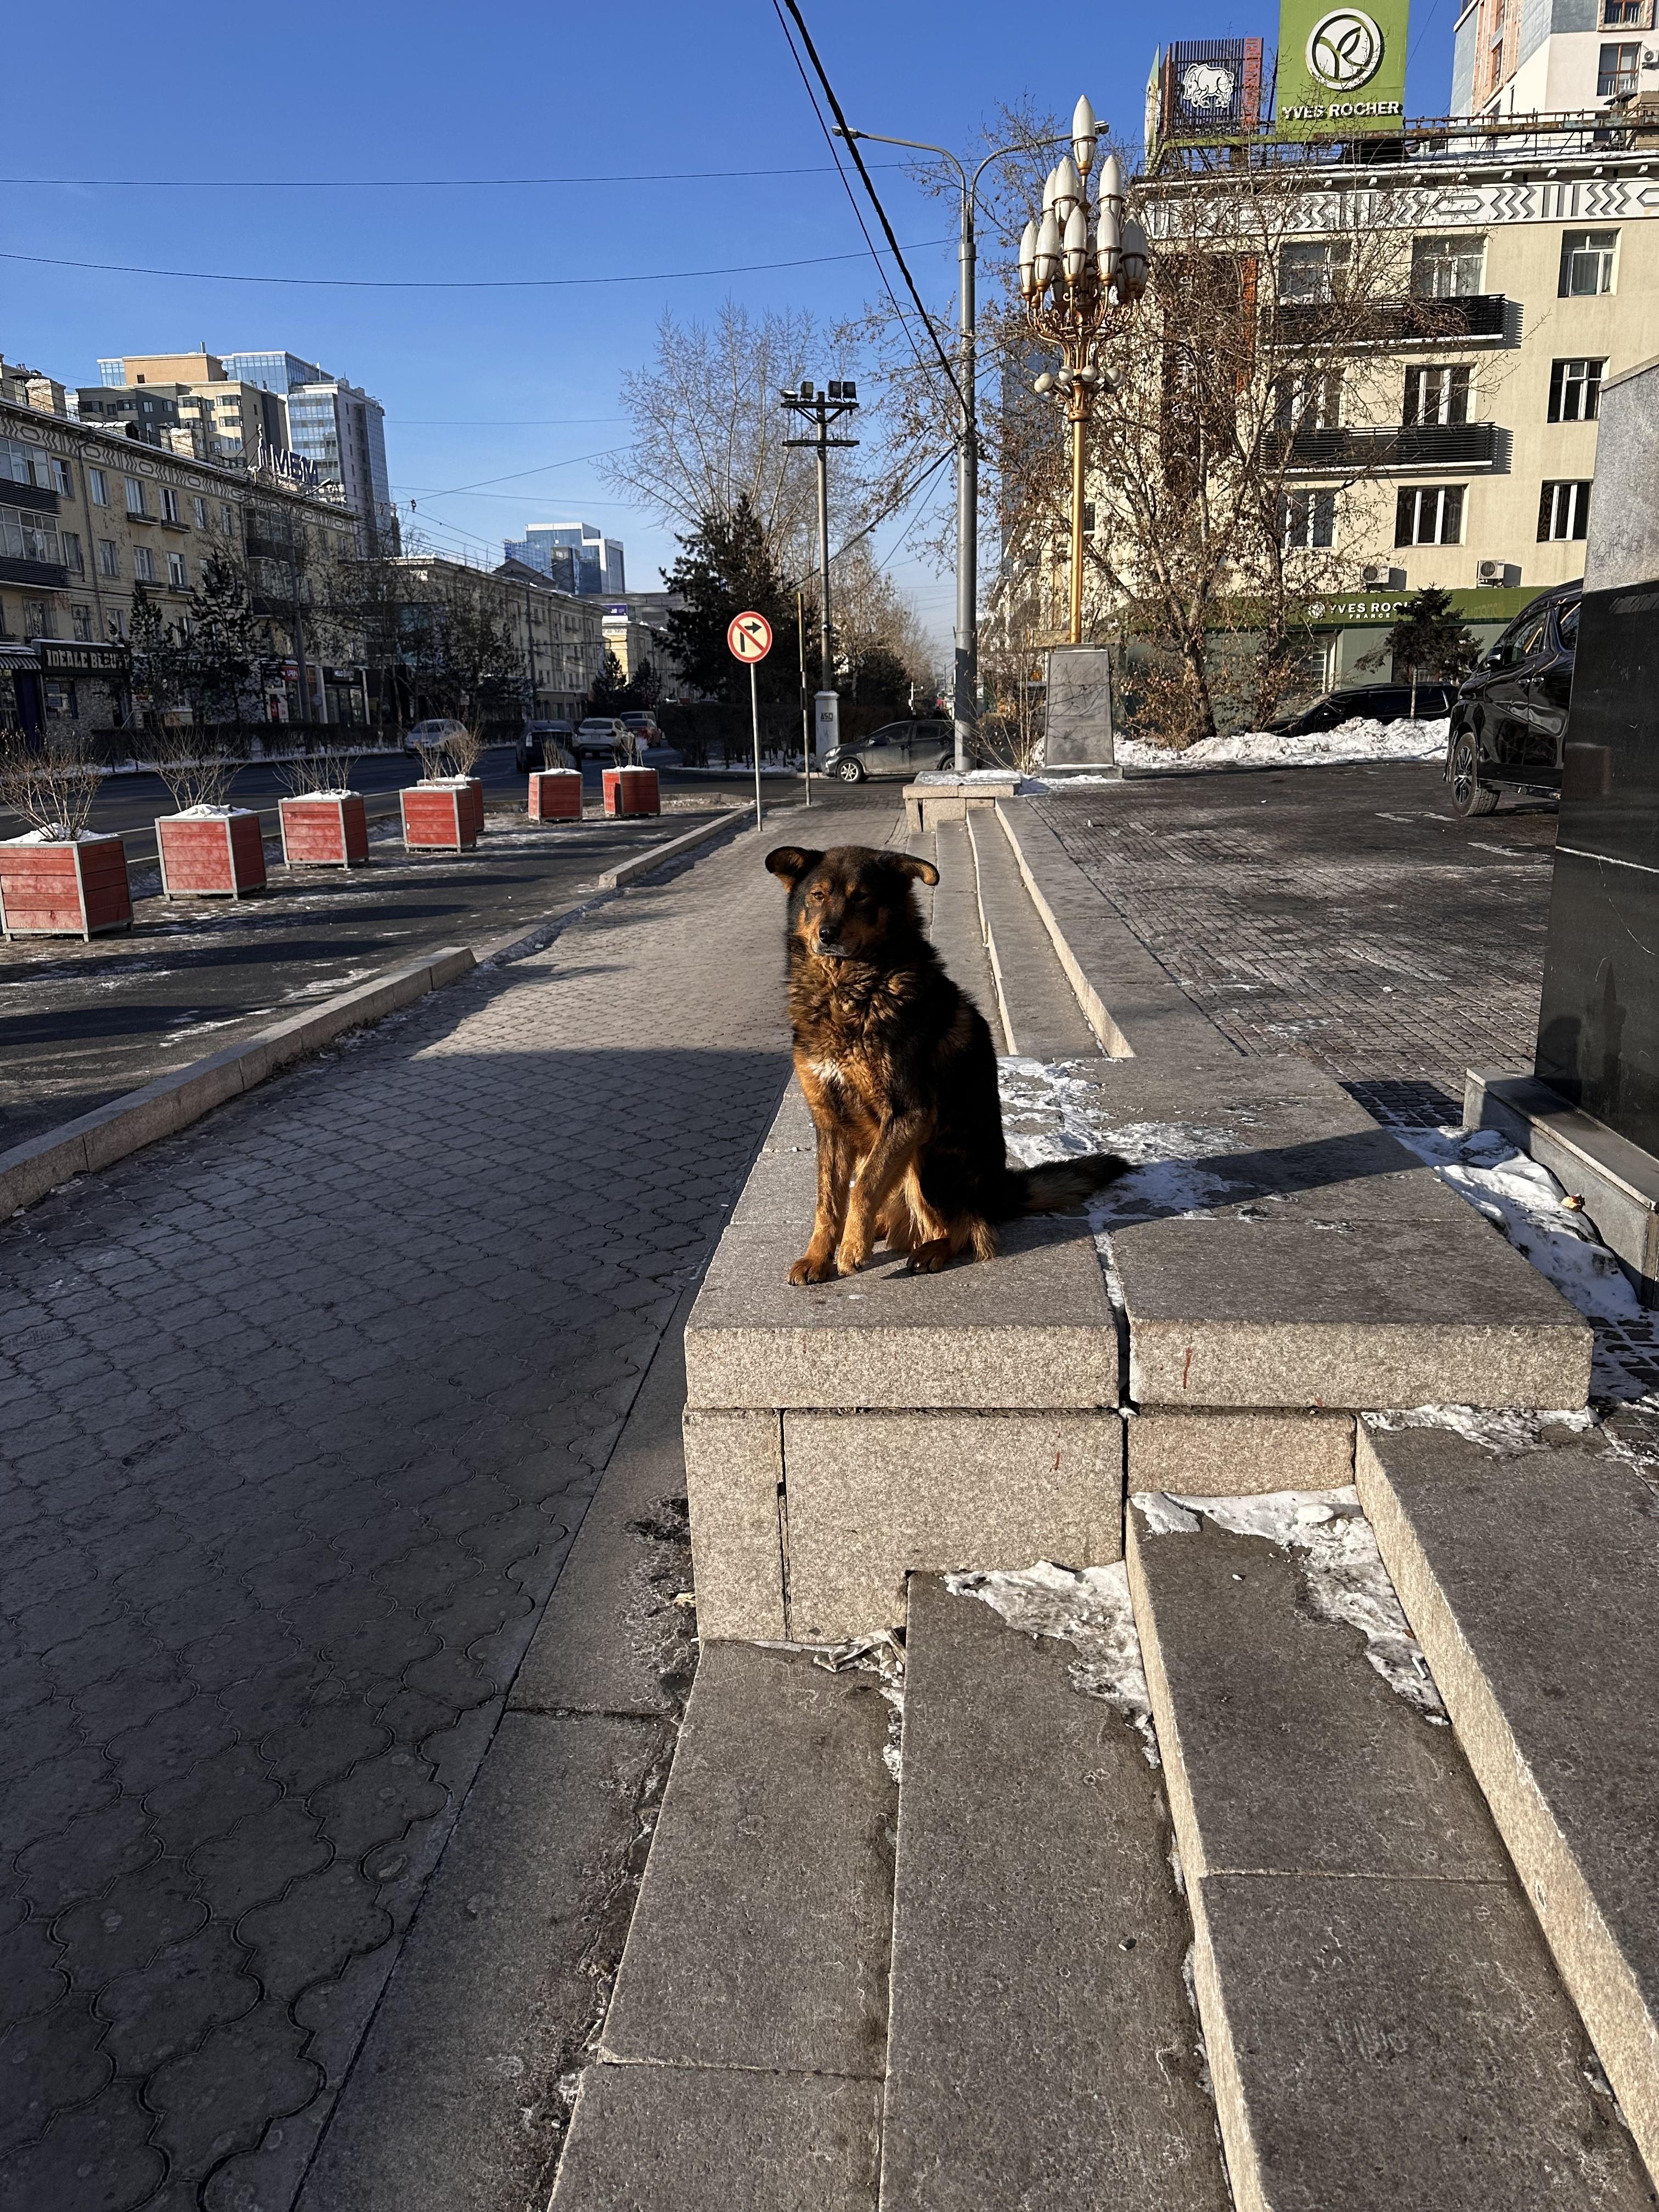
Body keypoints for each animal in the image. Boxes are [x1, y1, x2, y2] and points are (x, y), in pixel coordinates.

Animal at [764, 842, 1129, 1283]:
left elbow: (865, 1184)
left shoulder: (911, 1113)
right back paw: (882, 1230)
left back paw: (931, 1248)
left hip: (930, 1155)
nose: (827, 935)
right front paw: (819, 1255)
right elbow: (829, 1200)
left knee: (970, 1227)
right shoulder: (830, 1120)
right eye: (817, 896)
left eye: (861, 897)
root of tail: (998, 1191)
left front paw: (851, 1248)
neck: (848, 990)